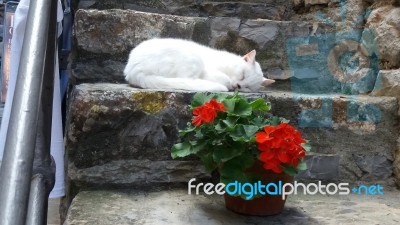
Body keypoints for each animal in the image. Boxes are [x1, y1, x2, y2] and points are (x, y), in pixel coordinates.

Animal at [124, 38, 276, 92]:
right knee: (187, 80)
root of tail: (131, 70)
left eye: (248, 87)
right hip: (193, 59)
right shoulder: (209, 70)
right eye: (242, 75)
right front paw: (226, 83)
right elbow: (225, 79)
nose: (238, 86)